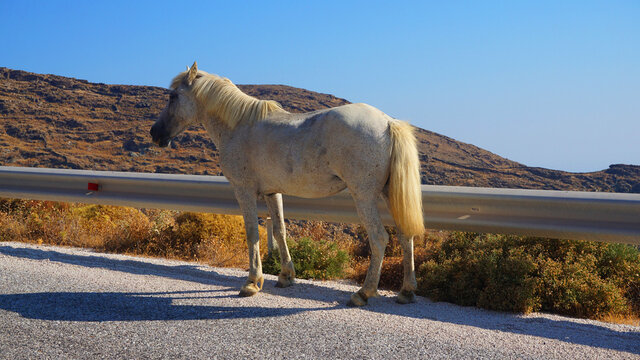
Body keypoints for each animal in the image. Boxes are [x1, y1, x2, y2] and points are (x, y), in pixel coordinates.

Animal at [149, 63, 424, 306]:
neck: (238, 126)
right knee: (405, 234)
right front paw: (285, 276)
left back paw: (363, 293)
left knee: (379, 238)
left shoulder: (244, 190)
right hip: (389, 193)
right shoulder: (273, 193)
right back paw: (406, 291)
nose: (155, 133)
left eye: (173, 96)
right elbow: (280, 231)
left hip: (364, 196)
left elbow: (252, 233)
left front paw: (252, 282)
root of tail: (388, 123)